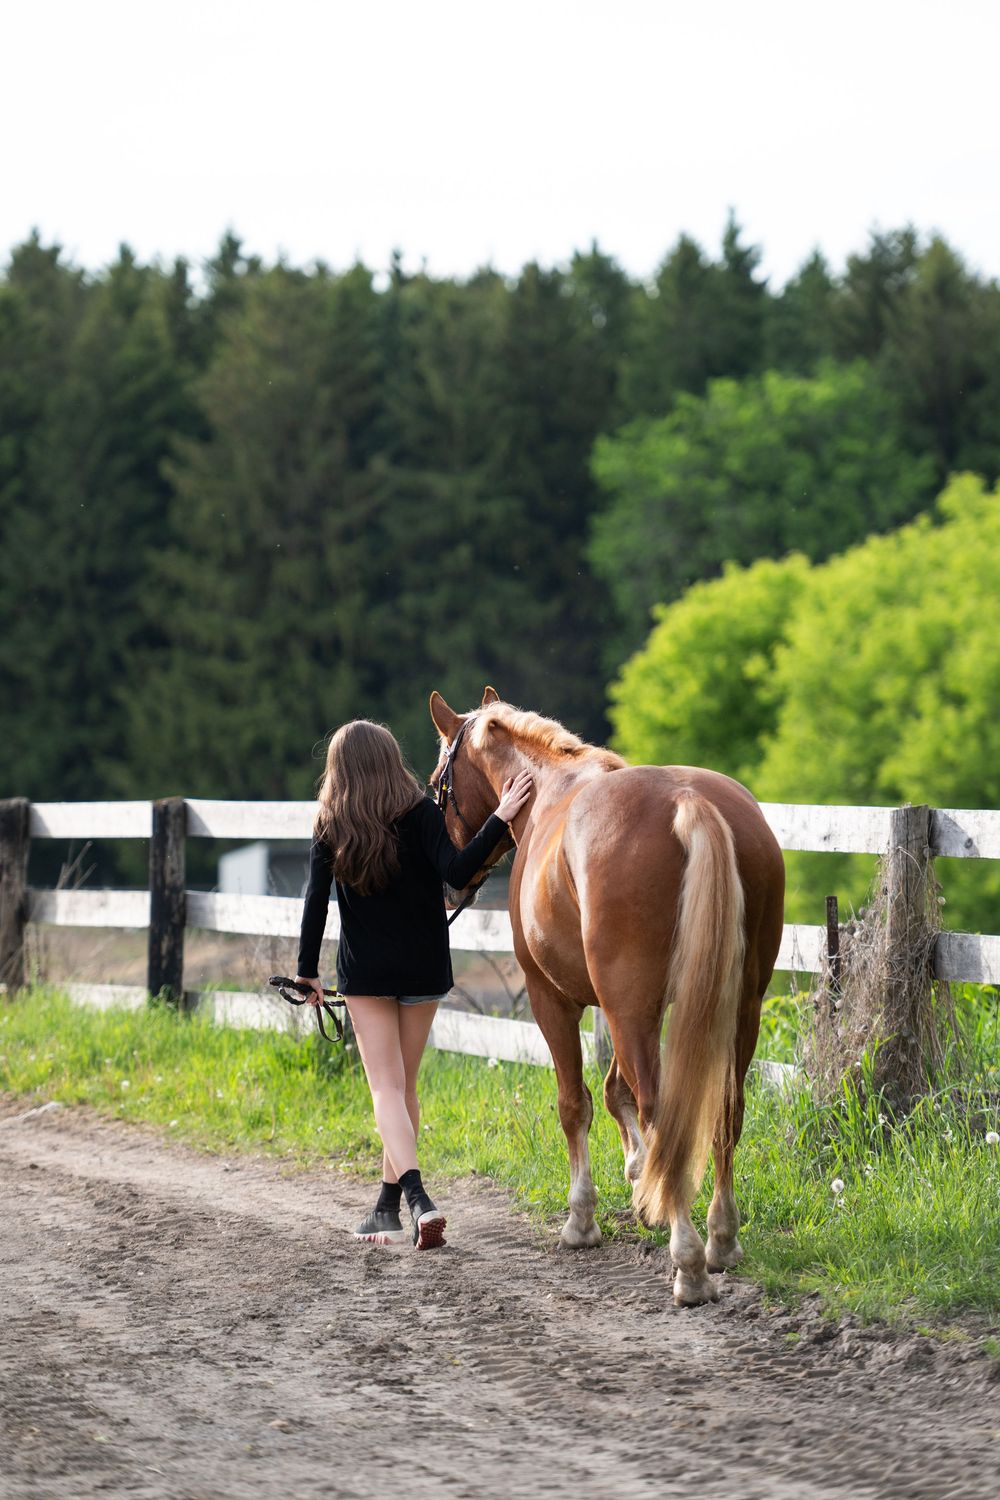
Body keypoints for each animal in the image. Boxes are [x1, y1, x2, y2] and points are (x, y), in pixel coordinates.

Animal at [429, 688, 785, 1306]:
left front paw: (583, 1219)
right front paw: (643, 1181)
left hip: (630, 1009)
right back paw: (720, 1240)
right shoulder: (631, 1006)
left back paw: (689, 1265)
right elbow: (618, 1090)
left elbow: (577, 1103)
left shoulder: (555, 1000)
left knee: (663, 1109)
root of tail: (688, 799)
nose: (452, 886)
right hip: (732, 1008)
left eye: (437, 786)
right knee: (724, 1110)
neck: (549, 791)